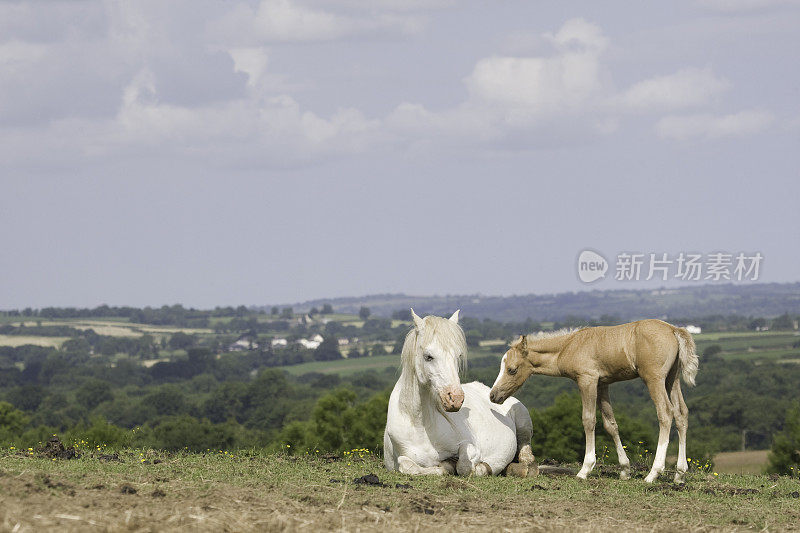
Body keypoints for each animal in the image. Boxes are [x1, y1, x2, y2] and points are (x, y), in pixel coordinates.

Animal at [384, 310, 536, 476]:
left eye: (458, 356)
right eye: (428, 356)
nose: (456, 399)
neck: (420, 426)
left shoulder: (469, 446)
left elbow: (464, 465)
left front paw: (481, 467)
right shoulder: (399, 461)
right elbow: (407, 466)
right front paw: (446, 465)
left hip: (523, 420)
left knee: (526, 454)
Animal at [484, 320, 696, 482]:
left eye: (511, 370)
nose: (493, 395)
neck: (569, 346)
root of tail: (673, 330)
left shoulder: (587, 380)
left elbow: (588, 420)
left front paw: (585, 469)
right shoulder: (603, 384)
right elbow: (611, 424)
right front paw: (625, 470)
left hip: (654, 378)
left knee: (665, 413)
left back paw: (653, 473)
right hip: (672, 378)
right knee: (681, 413)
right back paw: (680, 474)